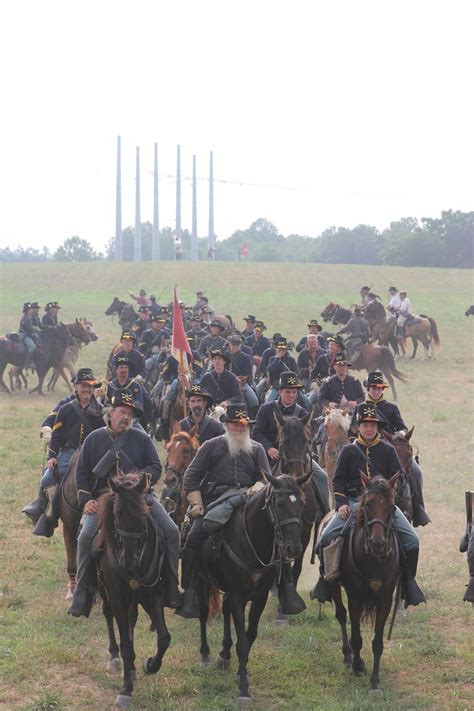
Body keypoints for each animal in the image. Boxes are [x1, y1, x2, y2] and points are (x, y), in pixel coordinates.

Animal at [96, 472, 170, 711]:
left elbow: (164, 637)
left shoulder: (151, 595)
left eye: (143, 513)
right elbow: (126, 644)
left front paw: (150, 665)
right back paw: (115, 659)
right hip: (106, 592)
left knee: (131, 622)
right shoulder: (118, 597)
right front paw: (125, 690)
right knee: (109, 616)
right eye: (118, 512)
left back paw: (135, 668)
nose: (128, 560)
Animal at [196, 472, 312, 700]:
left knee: (224, 610)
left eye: (301, 503)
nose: (293, 548)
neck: (252, 540)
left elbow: (249, 636)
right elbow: (242, 641)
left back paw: (224, 654)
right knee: (204, 613)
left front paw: (241, 672)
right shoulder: (238, 595)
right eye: (279, 503)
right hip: (200, 580)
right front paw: (243, 688)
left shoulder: (259, 597)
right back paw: (205, 654)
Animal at [328, 476, 402, 692]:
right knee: (341, 615)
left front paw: (375, 680)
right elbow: (356, 637)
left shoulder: (385, 600)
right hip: (334, 586)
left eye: (392, 506)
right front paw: (357, 666)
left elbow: (377, 642)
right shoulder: (355, 597)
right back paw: (347, 655)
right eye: (368, 504)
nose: (378, 543)